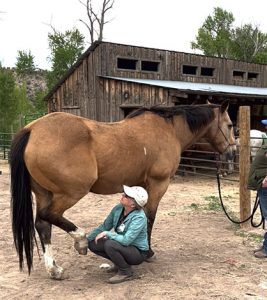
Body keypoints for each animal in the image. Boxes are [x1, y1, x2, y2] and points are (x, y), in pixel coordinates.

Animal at [9, 101, 237, 278]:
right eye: (230, 124)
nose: (232, 152)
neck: (168, 129)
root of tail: (32, 129)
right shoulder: (158, 184)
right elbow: (150, 217)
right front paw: (148, 253)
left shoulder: (142, 186)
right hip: (71, 192)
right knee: (48, 215)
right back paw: (81, 241)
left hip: (44, 193)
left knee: (43, 224)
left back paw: (54, 269)